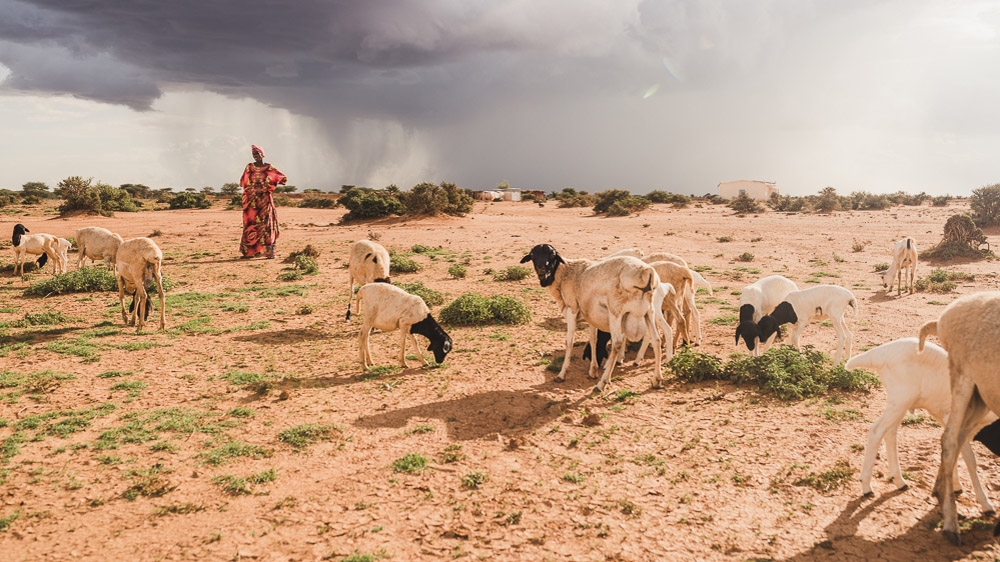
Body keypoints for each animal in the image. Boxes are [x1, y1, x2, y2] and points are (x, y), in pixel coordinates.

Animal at [521, 244, 662, 392]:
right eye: (532, 255)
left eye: (552, 255)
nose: (541, 269)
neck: (564, 273)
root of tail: (647, 272)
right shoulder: (590, 315)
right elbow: (593, 340)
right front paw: (593, 371)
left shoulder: (572, 310)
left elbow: (569, 342)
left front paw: (561, 374)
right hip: (649, 312)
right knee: (656, 340)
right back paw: (657, 380)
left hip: (616, 311)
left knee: (617, 343)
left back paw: (602, 383)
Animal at [844, 338, 995, 512]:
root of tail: (879, 353)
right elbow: (970, 459)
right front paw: (986, 504)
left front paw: (955, 487)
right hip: (901, 399)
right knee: (877, 430)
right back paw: (867, 487)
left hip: (900, 403)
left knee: (890, 432)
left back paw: (899, 481)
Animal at [918, 292, 1000, 544]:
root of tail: (944, 316)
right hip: (964, 378)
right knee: (950, 441)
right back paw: (951, 524)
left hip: (981, 397)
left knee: (960, 439)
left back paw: (942, 492)